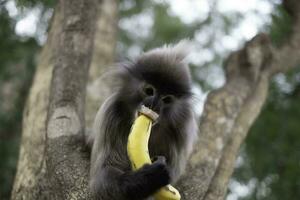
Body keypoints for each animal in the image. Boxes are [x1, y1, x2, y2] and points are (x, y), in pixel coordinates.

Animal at [88, 41, 198, 200]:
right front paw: (152, 175)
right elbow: (101, 179)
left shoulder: (181, 130)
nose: (154, 105)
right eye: (149, 91)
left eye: (167, 99)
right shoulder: (110, 115)